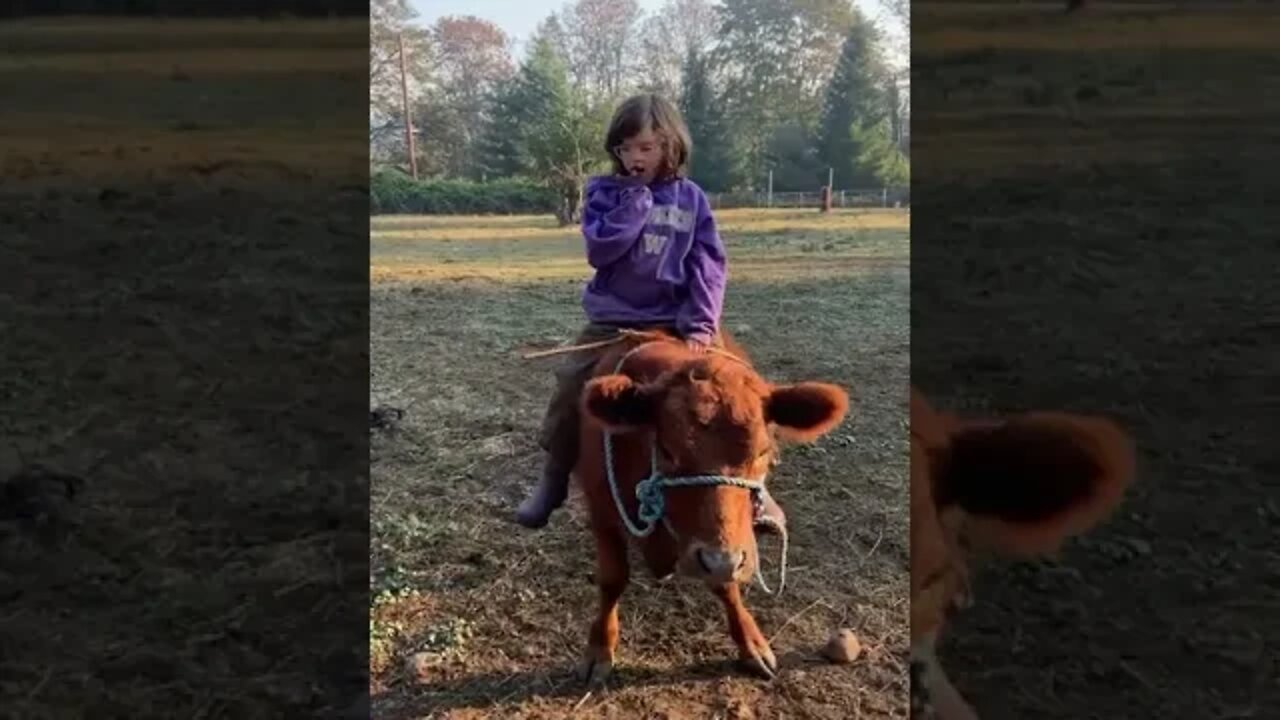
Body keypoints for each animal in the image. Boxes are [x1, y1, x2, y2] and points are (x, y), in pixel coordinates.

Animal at [573, 330, 849, 676]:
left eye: (763, 452)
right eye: (667, 450)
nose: (720, 561)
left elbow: (727, 586)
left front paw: (751, 643)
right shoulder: (600, 512)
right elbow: (612, 579)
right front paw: (599, 647)